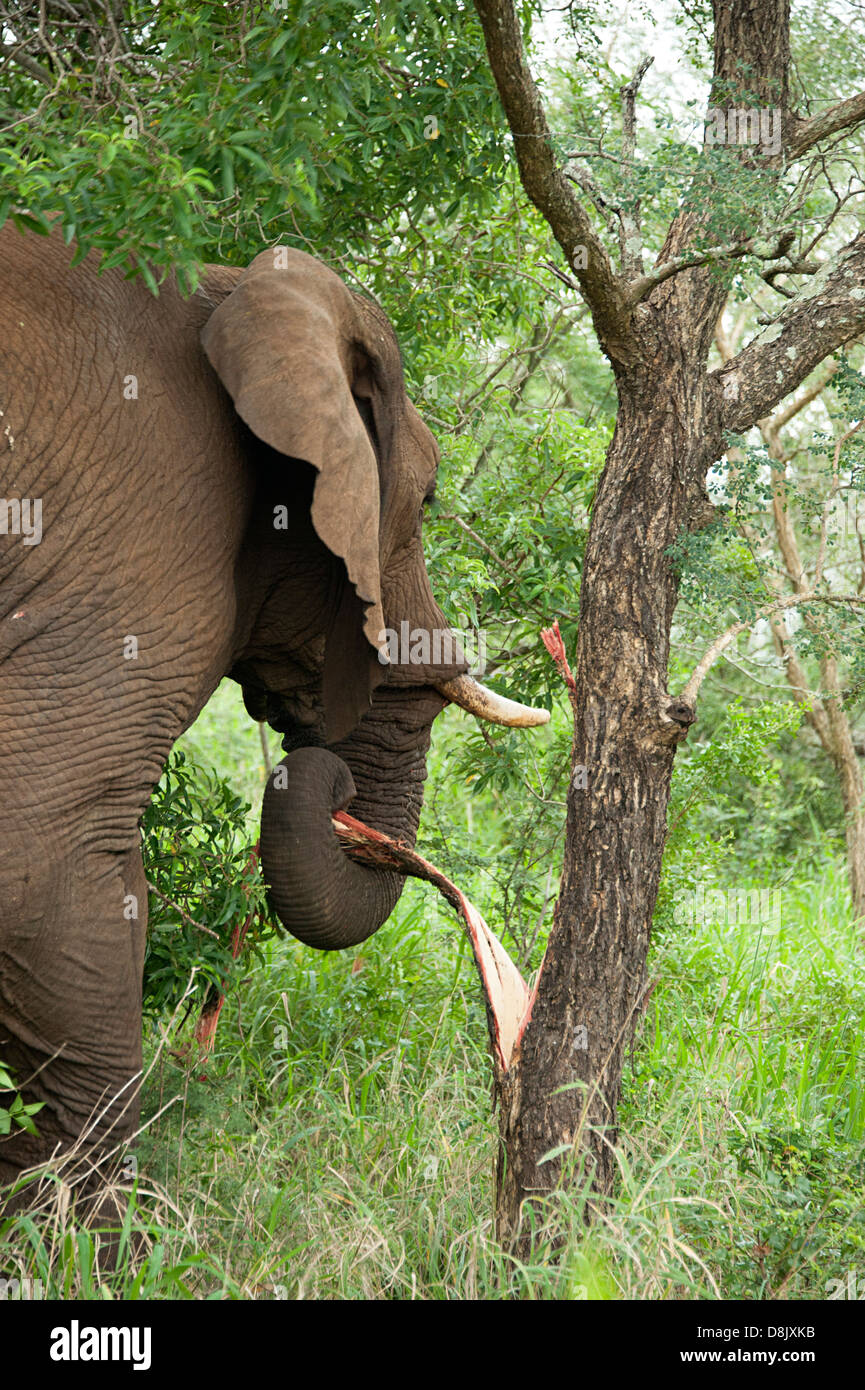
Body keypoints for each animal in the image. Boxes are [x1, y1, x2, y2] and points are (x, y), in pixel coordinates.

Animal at [0, 226, 547, 1213]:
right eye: (430, 502)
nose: (334, 786)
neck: (233, 291)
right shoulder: (138, 552)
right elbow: (46, 863)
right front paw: (96, 1237)